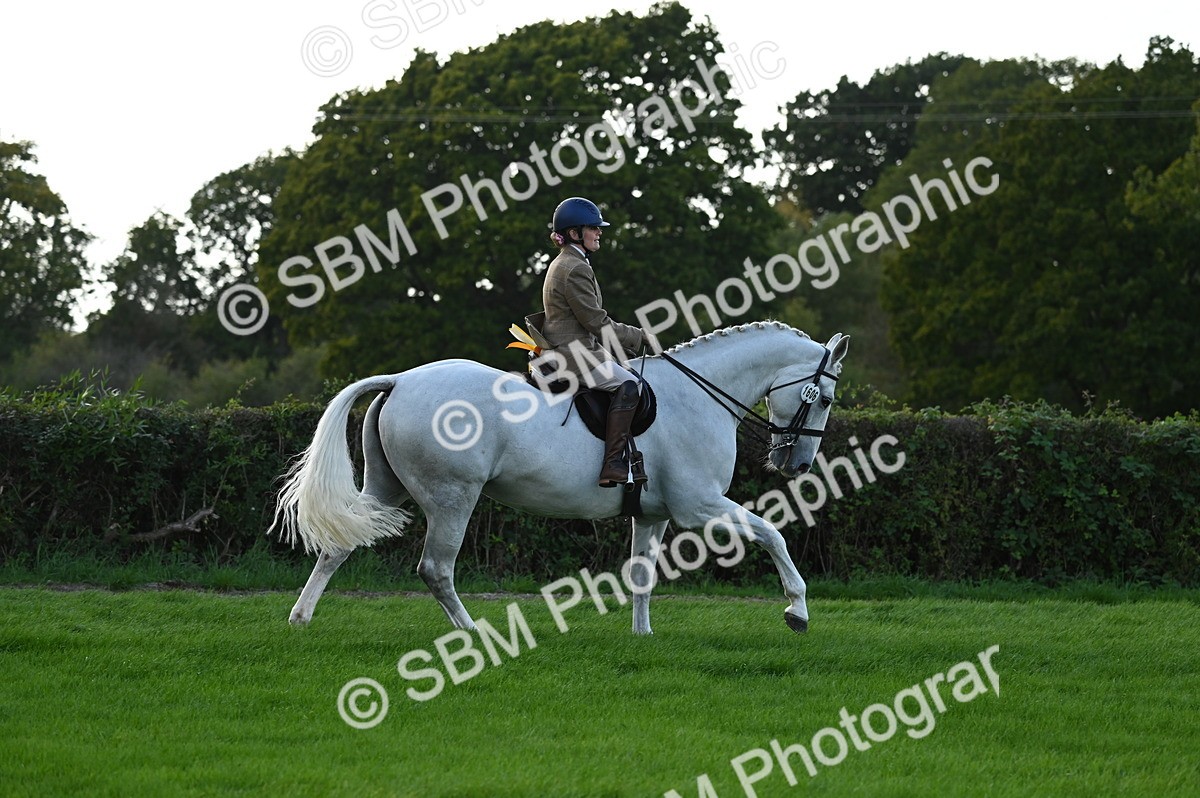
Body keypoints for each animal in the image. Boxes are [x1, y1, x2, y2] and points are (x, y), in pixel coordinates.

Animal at [273, 321, 849, 635]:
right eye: (824, 397)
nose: (797, 465)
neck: (700, 395)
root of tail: (401, 379)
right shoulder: (700, 505)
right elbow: (772, 534)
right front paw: (797, 610)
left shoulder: (655, 513)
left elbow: (642, 573)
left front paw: (643, 636)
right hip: (452, 498)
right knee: (435, 569)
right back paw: (472, 632)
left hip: (385, 489)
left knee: (339, 546)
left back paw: (300, 618)